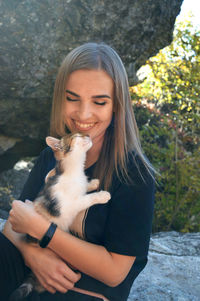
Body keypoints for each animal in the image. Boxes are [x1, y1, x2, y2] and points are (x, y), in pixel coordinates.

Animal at [9, 133, 111, 300]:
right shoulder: (68, 206)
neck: (73, 171)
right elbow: (85, 199)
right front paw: (101, 195)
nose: (88, 135)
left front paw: (92, 183)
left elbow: (84, 187)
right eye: (77, 135)